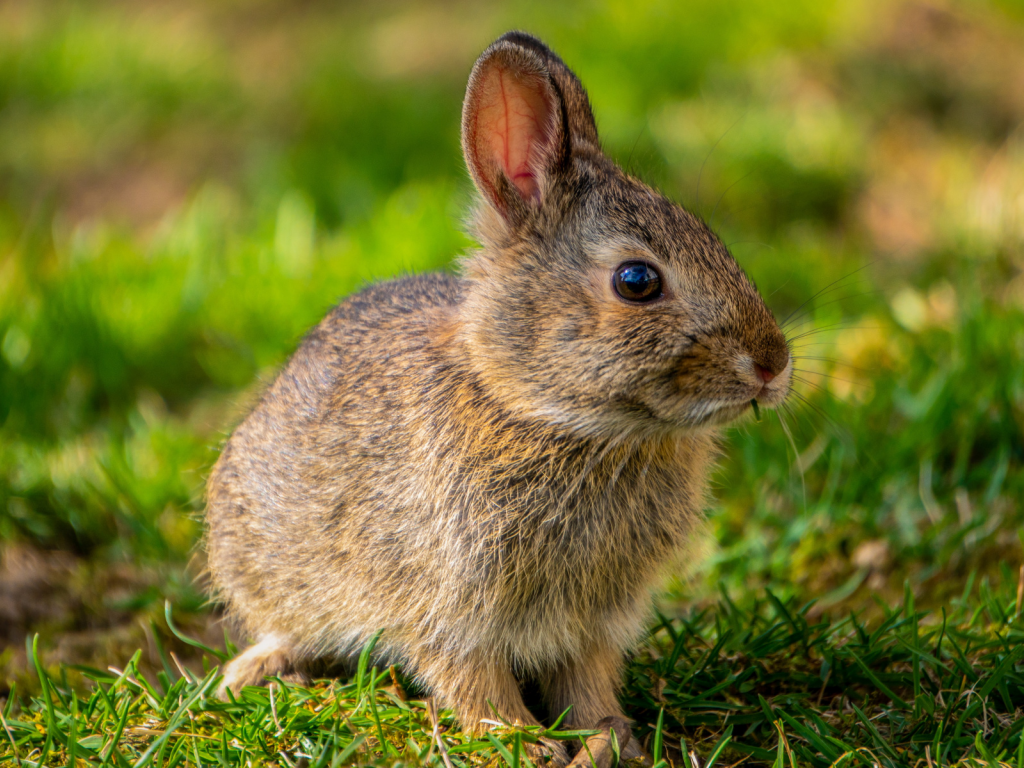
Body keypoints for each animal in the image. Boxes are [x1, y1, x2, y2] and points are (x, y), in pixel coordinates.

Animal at [201, 28, 790, 765]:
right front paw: (521, 741)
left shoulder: (592, 622)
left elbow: (587, 680)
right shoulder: (446, 605)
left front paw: (608, 739)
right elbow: (470, 677)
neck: (548, 416)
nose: (773, 364)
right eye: (637, 281)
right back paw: (255, 672)